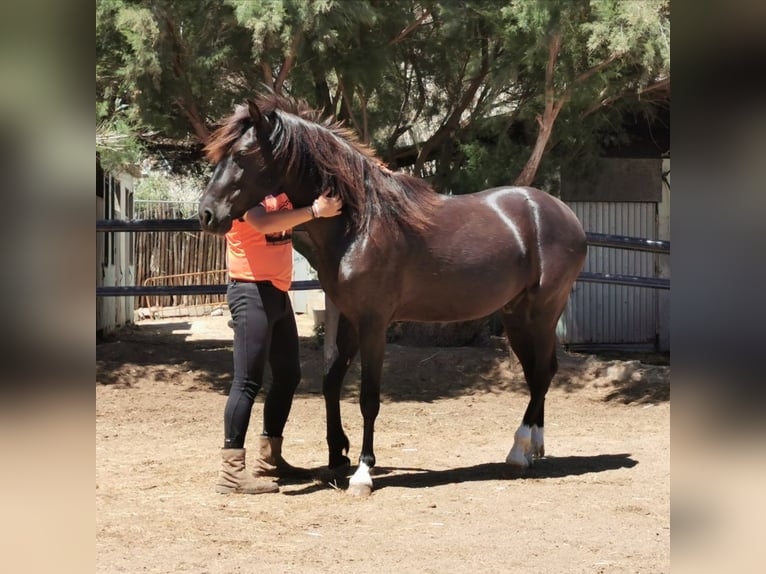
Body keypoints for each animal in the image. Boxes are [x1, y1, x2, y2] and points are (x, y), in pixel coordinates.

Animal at [200, 93, 588, 496]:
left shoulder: (374, 323)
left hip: (543, 311)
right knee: (538, 372)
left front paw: (362, 472)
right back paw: (534, 448)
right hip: (516, 314)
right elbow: (331, 382)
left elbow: (369, 397)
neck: (360, 222)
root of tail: (563, 213)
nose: (207, 213)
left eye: (242, 154)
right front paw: (337, 454)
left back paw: (518, 450)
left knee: (541, 373)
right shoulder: (351, 318)